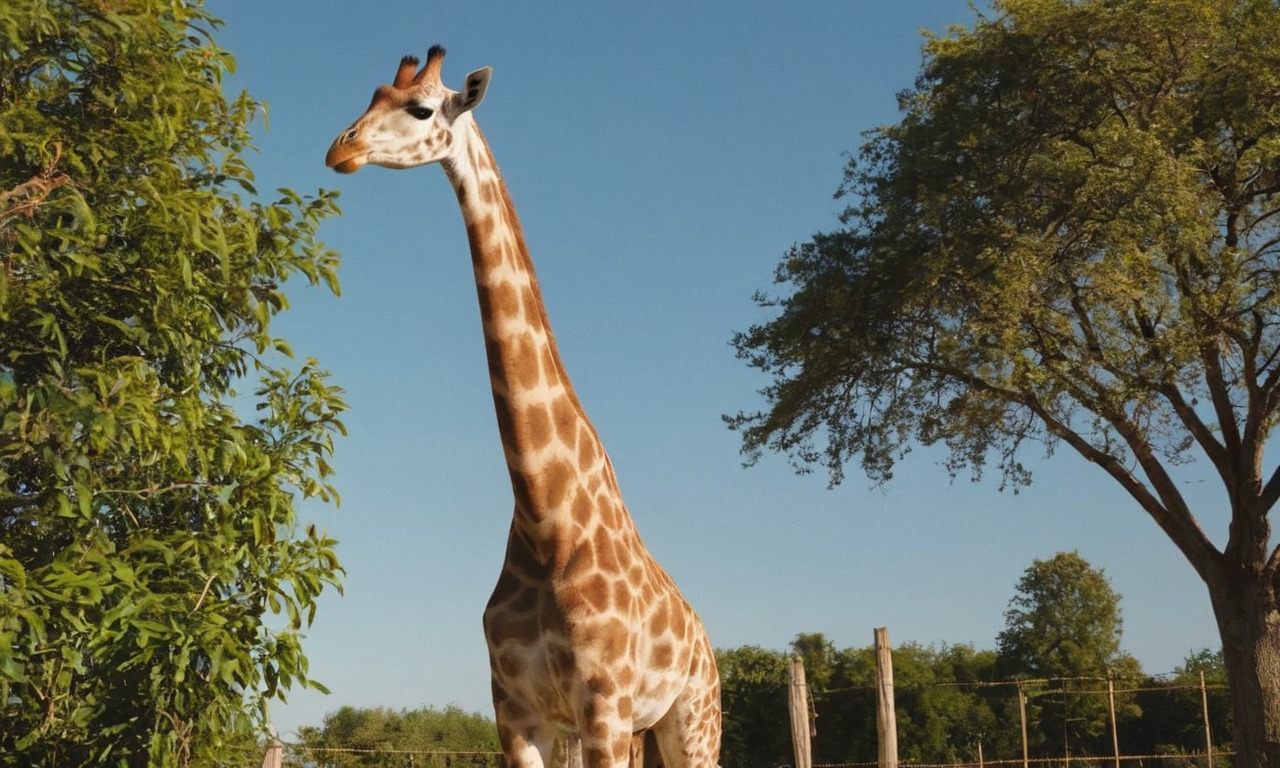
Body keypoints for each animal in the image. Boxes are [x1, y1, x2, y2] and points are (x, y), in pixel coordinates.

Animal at [325, 48, 727, 768]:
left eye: (420, 109)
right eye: (369, 96)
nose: (340, 149)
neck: (546, 516)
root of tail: (705, 641)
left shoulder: (603, 705)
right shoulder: (516, 711)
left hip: (691, 721)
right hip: (640, 729)